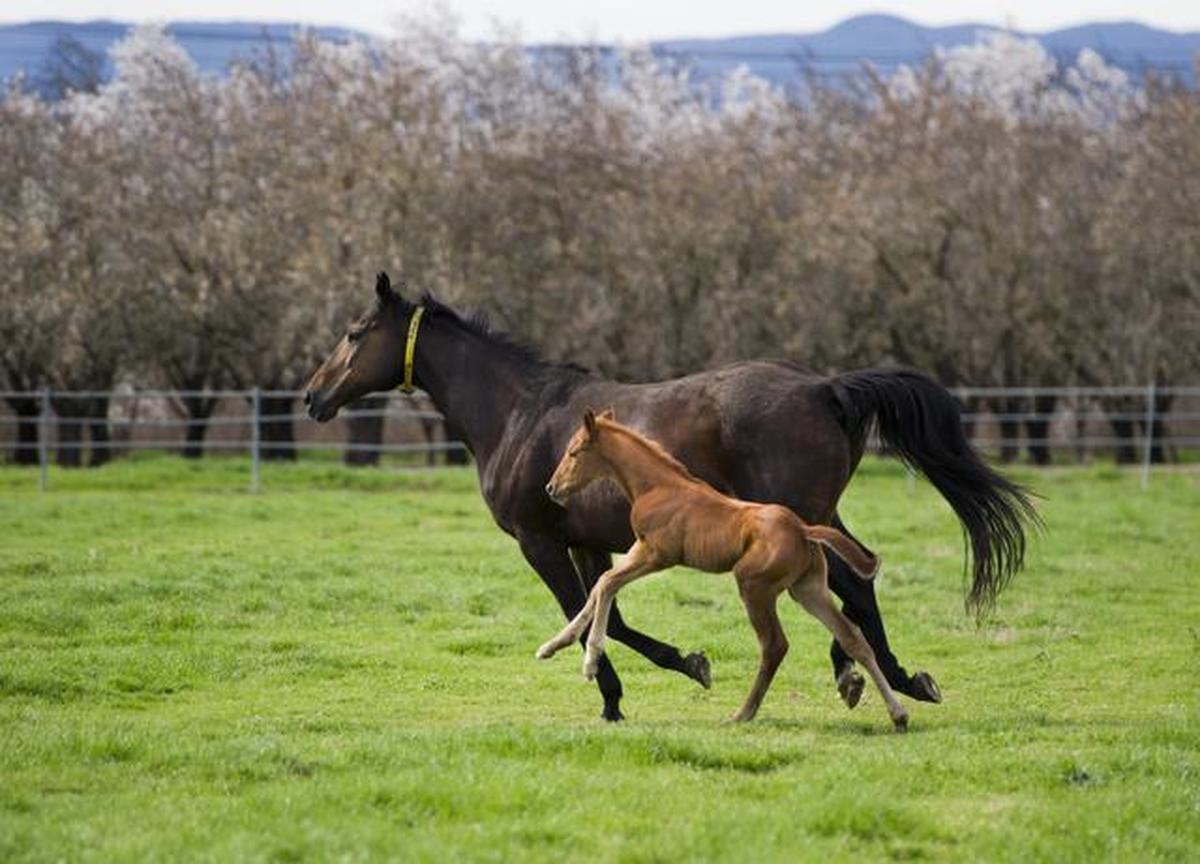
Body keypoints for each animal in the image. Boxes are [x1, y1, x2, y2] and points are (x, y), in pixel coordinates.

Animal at [537, 409, 910, 731]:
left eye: (574, 452)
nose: (551, 488)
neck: (658, 487)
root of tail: (803, 529)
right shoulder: (636, 549)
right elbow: (600, 587)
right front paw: (552, 646)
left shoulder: (656, 554)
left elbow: (606, 585)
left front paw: (589, 662)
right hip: (808, 589)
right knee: (853, 637)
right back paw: (898, 714)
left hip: (754, 586)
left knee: (774, 646)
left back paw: (743, 713)